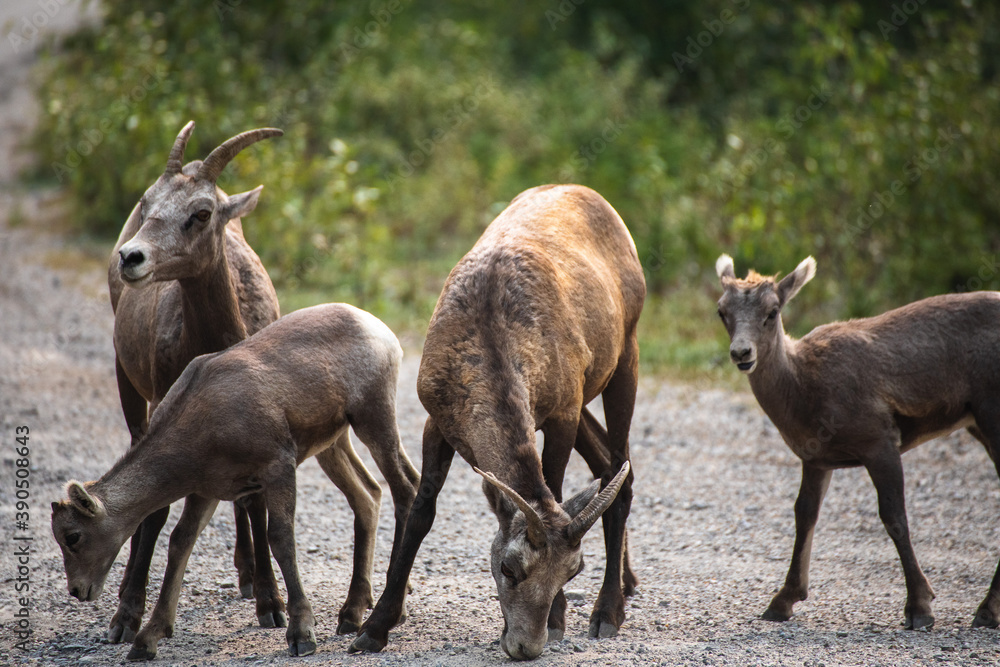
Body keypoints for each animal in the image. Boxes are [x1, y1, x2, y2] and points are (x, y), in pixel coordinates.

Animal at [51, 303, 420, 660]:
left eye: (73, 536)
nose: (77, 590)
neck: (202, 427)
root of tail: (381, 330)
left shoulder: (278, 466)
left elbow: (280, 539)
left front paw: (300, 634)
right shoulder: (207, 490)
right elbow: (180, 542)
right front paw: (147, 640)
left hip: (373, 416)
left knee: (406, 487)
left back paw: (390, 615)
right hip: (333, 443)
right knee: (368, 495)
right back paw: (351, 615)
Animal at [107, 121, 286, 642]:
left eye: (201, 214)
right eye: (147, 201)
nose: (131, 257)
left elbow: (256, 503)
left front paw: (270, 604)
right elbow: (157, 507)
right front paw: (126, 617)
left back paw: (246, 574)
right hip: (127, 383)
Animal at [350, 184, 646, 660]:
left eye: (572, 572)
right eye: (508, 567)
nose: (527, 646)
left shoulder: (560, 414)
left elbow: (554, 493)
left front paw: (560, 620)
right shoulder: (438, 419)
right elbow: (422, 510)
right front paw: (372, 629)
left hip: (626, 354)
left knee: (620, 467)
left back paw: (607, 612)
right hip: (588, 389)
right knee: (611, 467)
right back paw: (628, 582)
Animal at [715, 253, 1000, 630]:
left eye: (773, 311)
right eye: (722, 311)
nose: (741, 353)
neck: (804, 389)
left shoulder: (880, 443)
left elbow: (894, 517)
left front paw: (919, 608)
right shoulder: (815, 459)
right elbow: (805, 514)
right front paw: (782, 601)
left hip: (992, 417)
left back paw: (985, 610)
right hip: (980, 426)